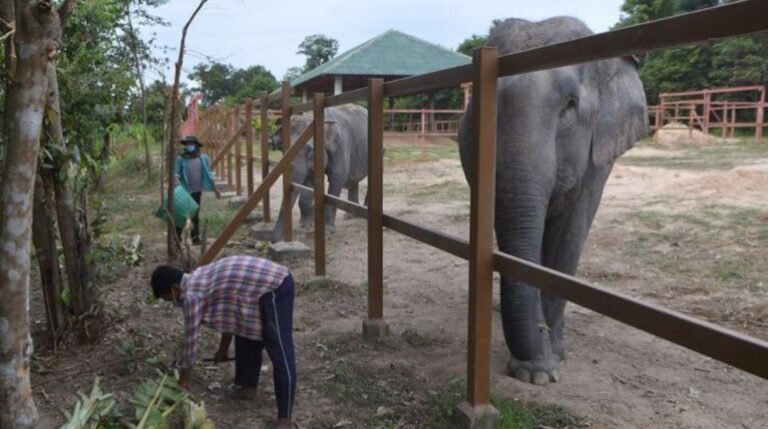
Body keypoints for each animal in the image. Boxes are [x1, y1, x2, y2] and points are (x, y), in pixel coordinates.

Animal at [270, 103, 368, 241]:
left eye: (309, 150)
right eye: (283, 149)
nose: (274, 240)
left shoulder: (341, 146)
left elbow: (338, 178)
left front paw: (328, 230)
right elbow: (308, 182)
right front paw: (306, 225)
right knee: (353, 180)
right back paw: (349, 216)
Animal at [462, 17, 648, 384]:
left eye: (570, 104)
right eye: (480, 109)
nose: (542, 341)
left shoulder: (597, 158)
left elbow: (569, 235)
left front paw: (555, 355)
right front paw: (536, 372)